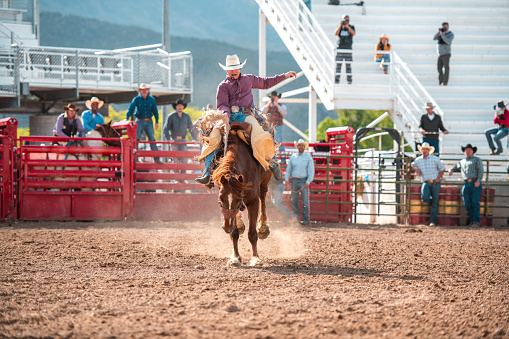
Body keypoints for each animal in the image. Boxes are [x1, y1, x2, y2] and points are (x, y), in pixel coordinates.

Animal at [211, 129, 272, 266]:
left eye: (238, 200)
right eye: (220, 201)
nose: (226, 227)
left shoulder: (253, 201)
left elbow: (252, 233)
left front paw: (255, 258)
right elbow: (234, 233)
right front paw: (235, 257)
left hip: (265, 180)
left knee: (263, 197)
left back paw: (263, 228)